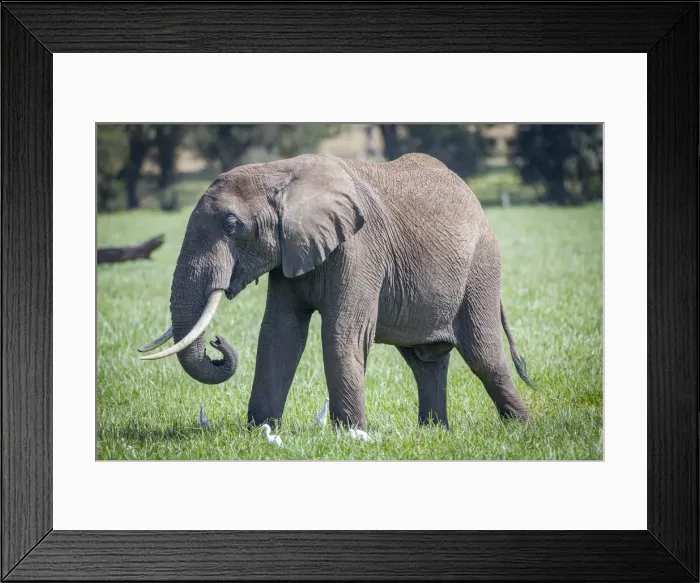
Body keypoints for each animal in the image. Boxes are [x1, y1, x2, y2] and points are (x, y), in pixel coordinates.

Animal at [139, 153, 535, 430]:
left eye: (232, 225)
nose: (218, 343)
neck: (279, 172)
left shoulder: (360, 249)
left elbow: (342, 332)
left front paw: (350, 434)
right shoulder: (291, 251)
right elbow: (280, 333)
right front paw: (260, 430)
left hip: (481, 269)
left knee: (483, 354)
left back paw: (521, 428)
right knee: (425, 362)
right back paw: (434, 431)